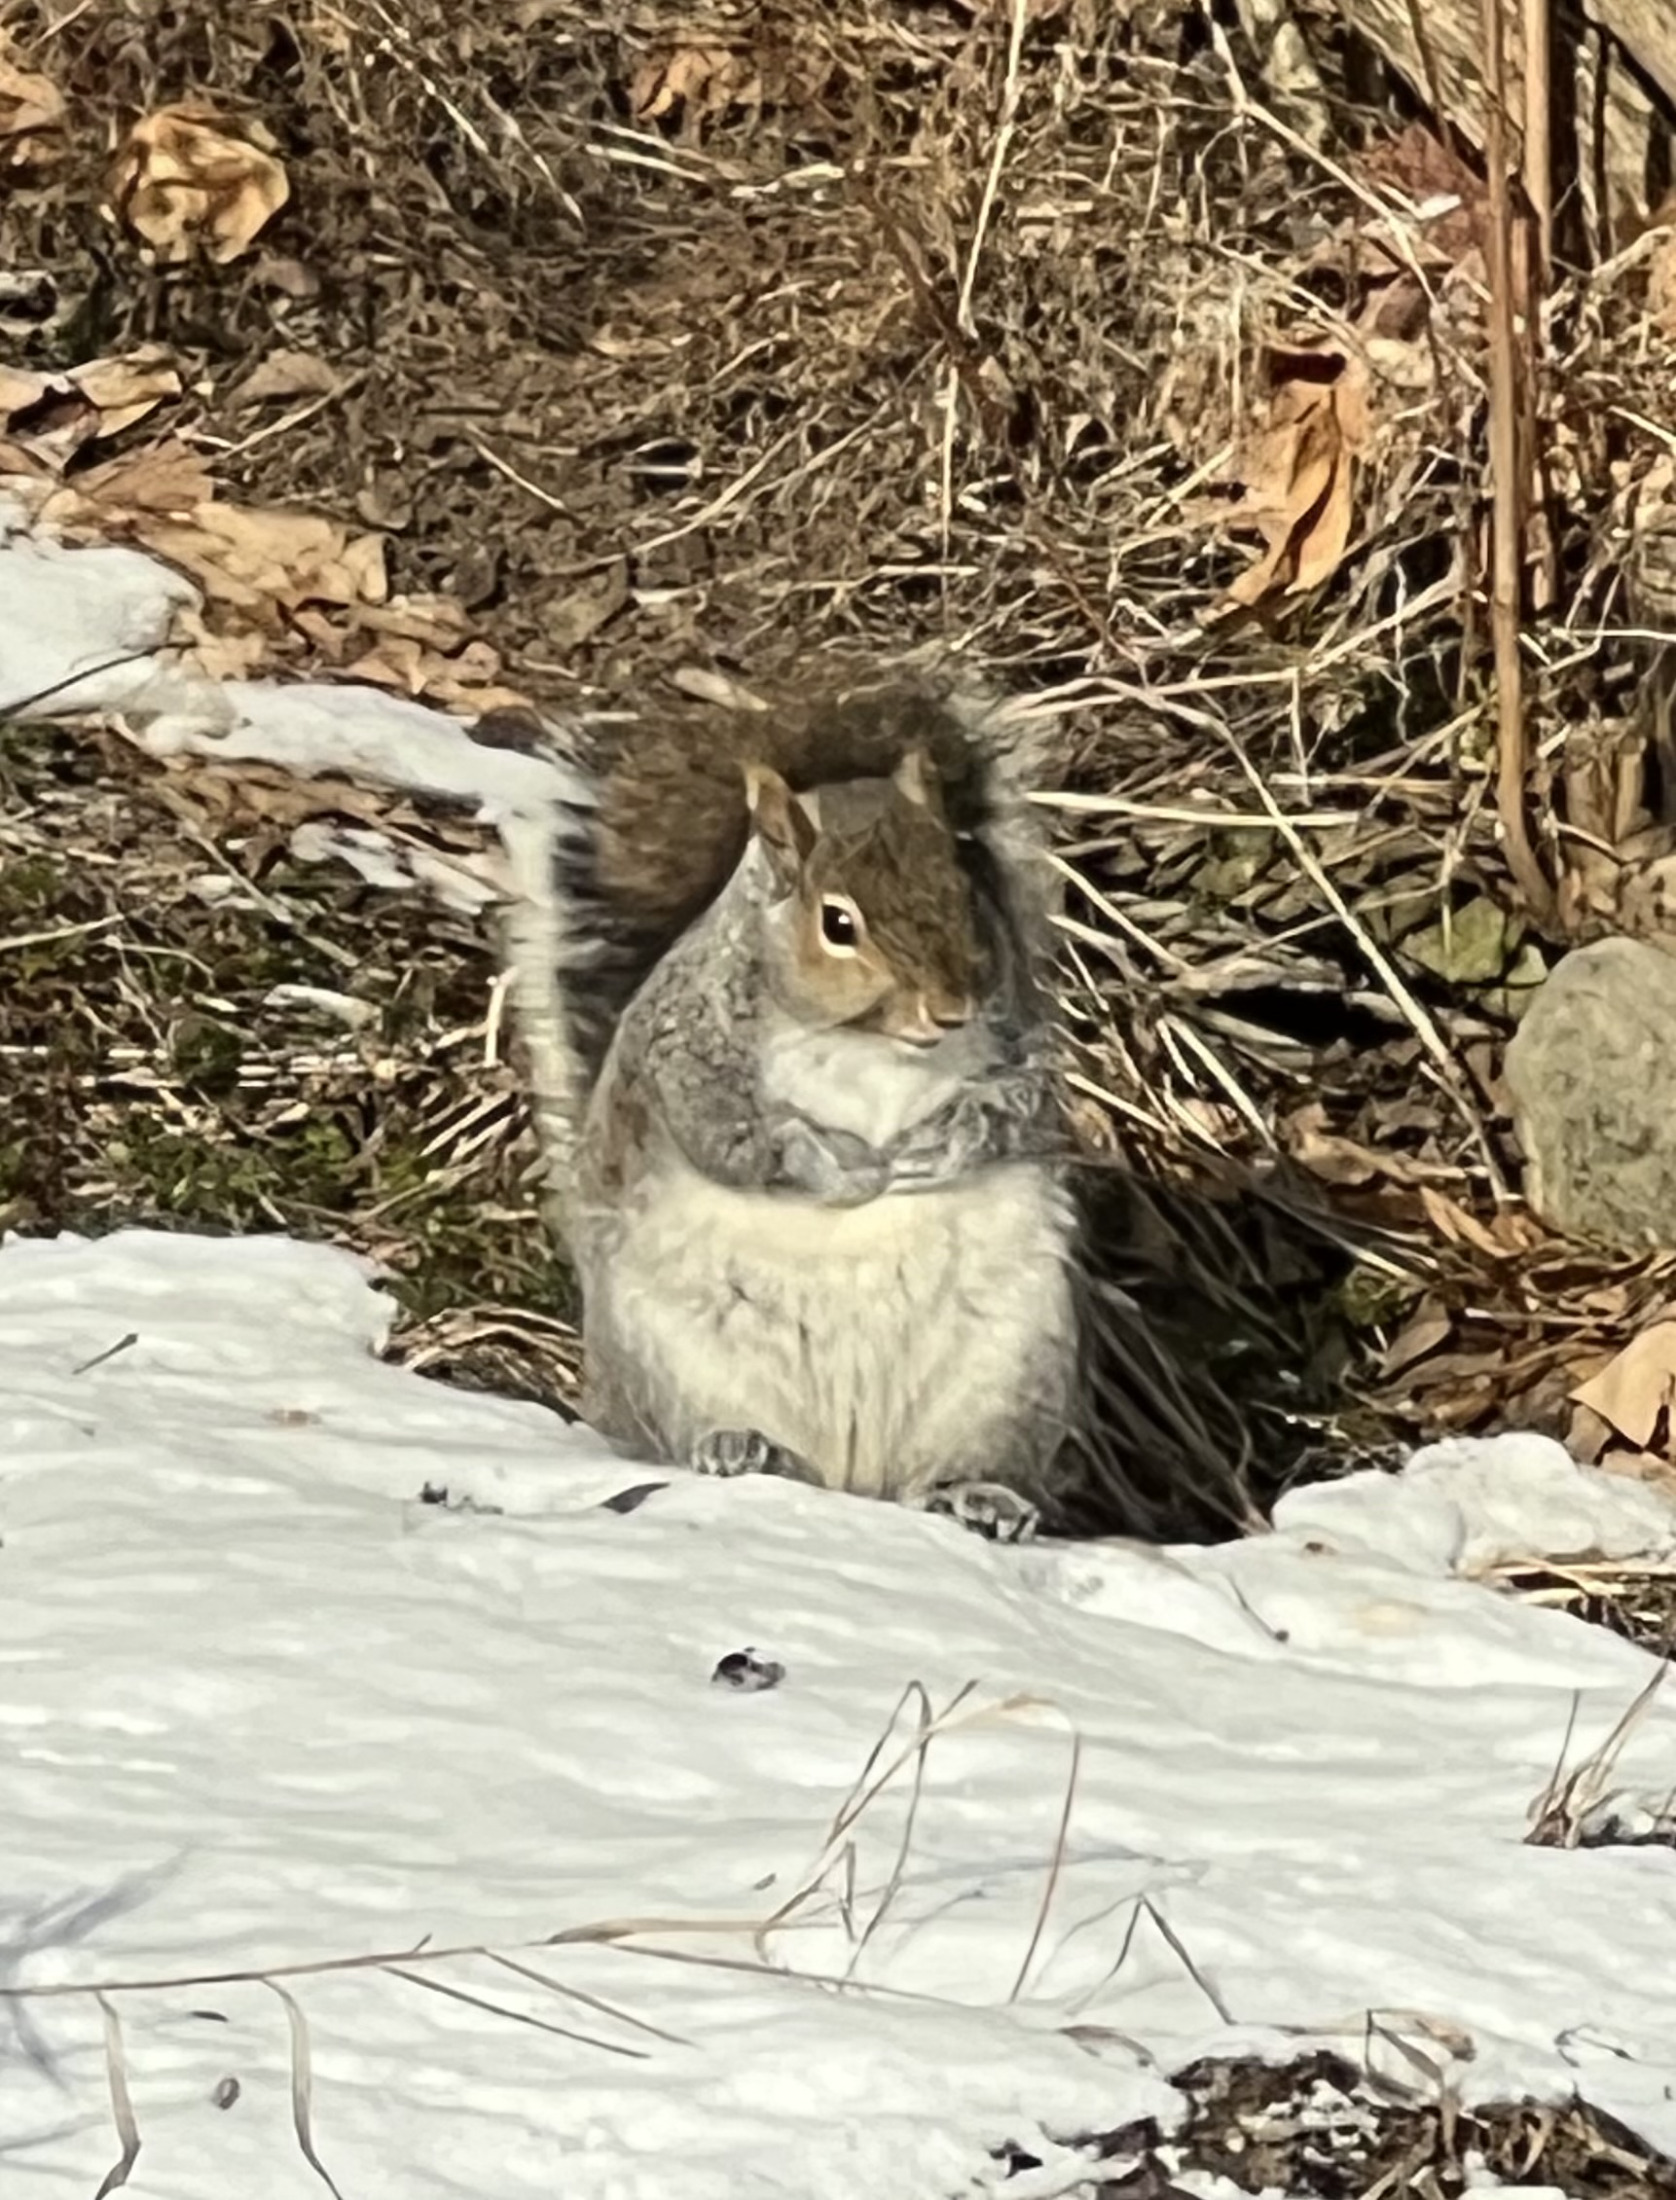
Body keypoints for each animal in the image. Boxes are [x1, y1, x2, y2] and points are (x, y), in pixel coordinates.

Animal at [490, 668, 1249, 1548]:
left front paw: (934, 1147)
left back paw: (979, 1497)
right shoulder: (685, 1055)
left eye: (964, 891)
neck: (873, 1047)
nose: (951, 1009)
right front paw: (845, 1166)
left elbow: (1009, 1112)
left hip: (1010, 1367)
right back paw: (740, 1447)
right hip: (673, 1361)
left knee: (971, 1461)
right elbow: (734, 1137)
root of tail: (852, 1480)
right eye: (838, 922)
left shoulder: (1022, 1050)